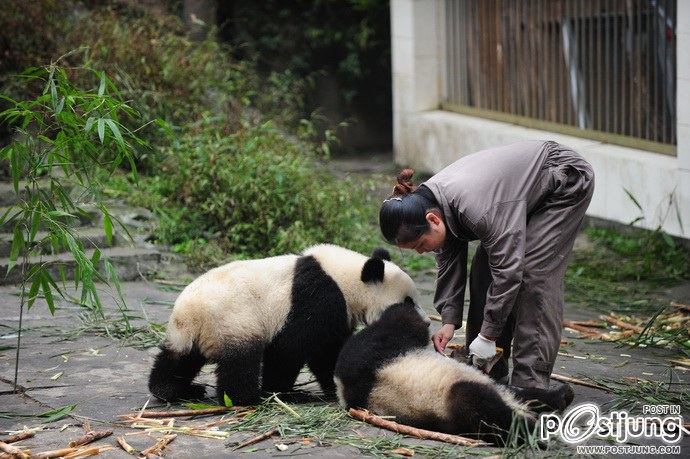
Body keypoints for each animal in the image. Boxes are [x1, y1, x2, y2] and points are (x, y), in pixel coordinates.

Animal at [148, 244, 421, 406]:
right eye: (408, 301)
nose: (425, 320)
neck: (346, 277)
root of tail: (191, 316)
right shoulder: (318, 298)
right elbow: (294, 348)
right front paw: (283, 391)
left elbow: (327, 351)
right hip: (234, 322)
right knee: (240, 362)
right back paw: (247, 397)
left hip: (186, 335)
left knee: (178, 358)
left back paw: (171, 389)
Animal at [334, 299, 574, 444]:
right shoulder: (374, 354)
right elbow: (401, 323)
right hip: (452, 399)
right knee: (484, 409)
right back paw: (535, 429)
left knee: (519, 393)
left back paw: (561, 396)